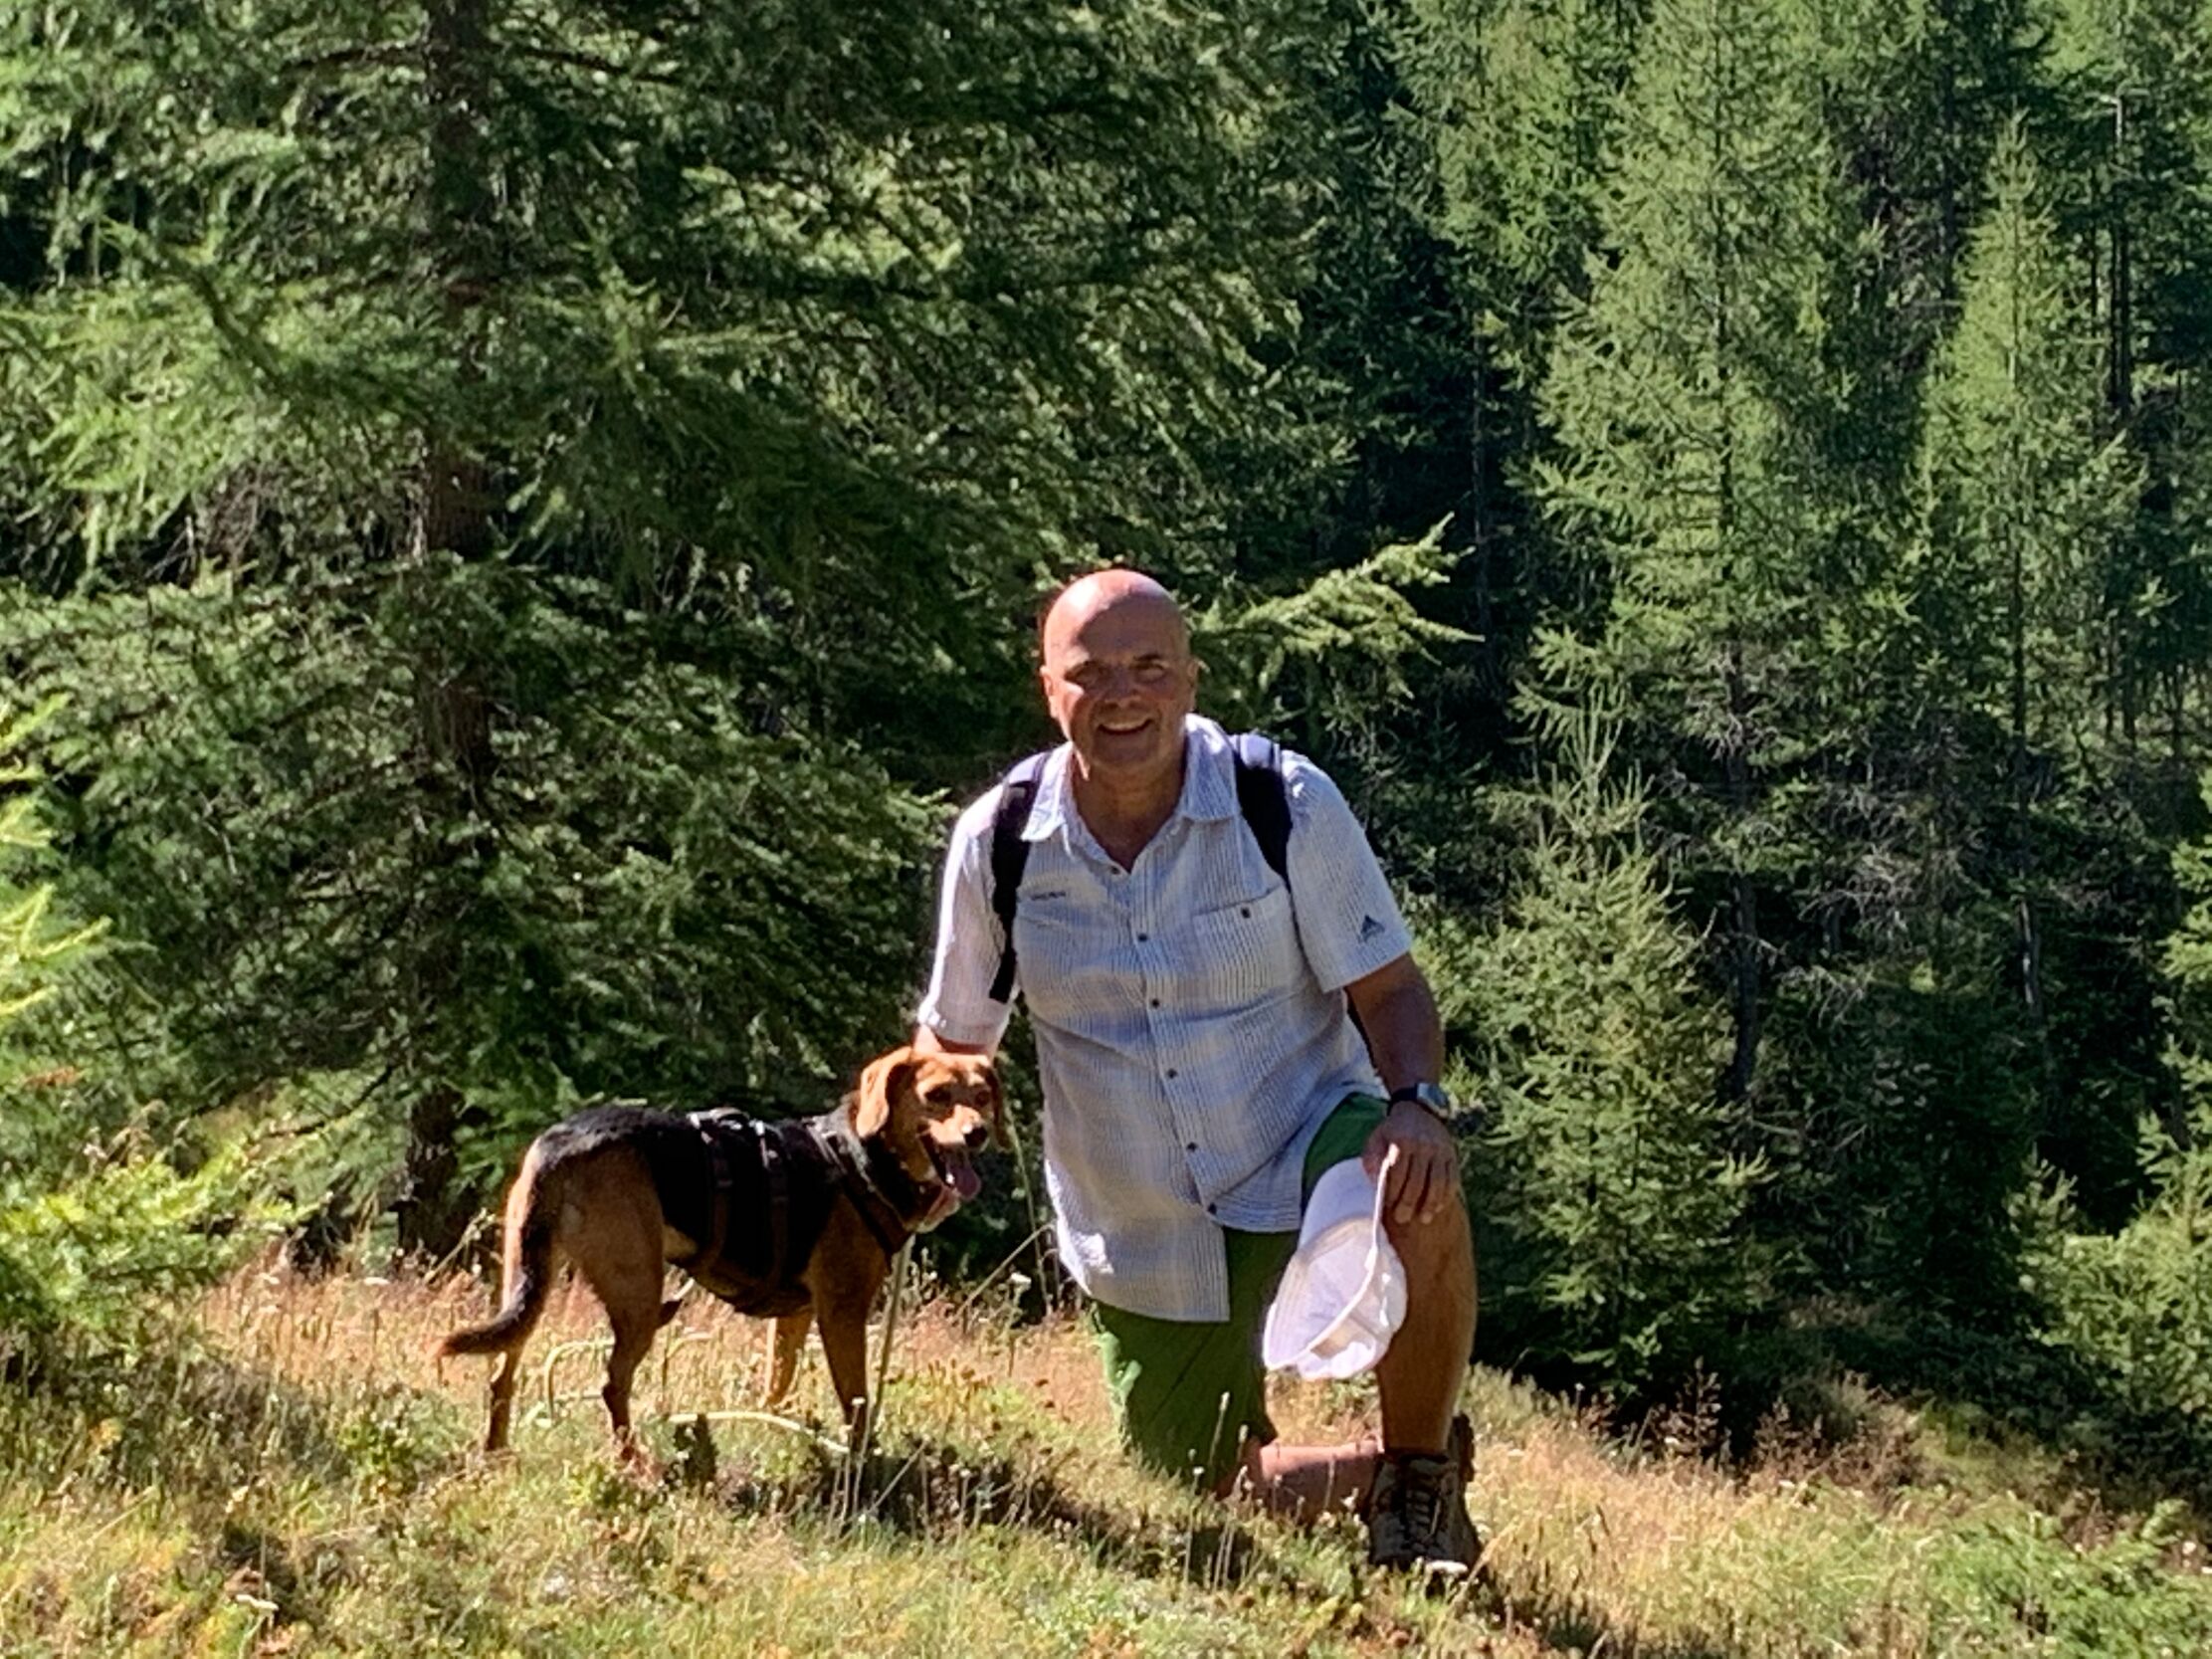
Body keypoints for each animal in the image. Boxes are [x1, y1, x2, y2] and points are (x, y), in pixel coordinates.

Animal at [439, 1046, 1003, 1456]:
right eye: (937, 1095)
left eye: (981, 1096)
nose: (978, 1134)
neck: (863, 1155)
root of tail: (566, 1142)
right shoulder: (842, 1314)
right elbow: (858, 1404)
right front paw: (862, 1468)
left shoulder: (796, 1316)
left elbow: (779, 1383)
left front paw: (776, 1423)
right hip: (637, 1294)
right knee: (612, 1384)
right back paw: (633, 1461)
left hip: (526, 1274)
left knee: (501, 1370)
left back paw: (496, 1453)